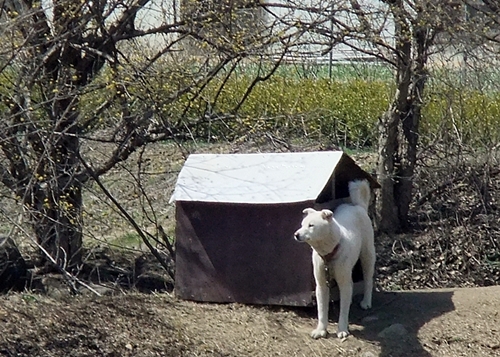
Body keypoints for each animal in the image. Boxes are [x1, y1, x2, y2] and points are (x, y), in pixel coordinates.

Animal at [292, 179, 376, 338]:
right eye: (302, 224)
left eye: (311, 225)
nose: (296, 234)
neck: (328, 254)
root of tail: (358, 206)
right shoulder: (321, 284)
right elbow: (322, 310)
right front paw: (321, 330)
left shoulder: (342, 282)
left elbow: (343, 311)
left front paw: (342, 329)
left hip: (367, 255)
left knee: (368, 280)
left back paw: (367, 302)